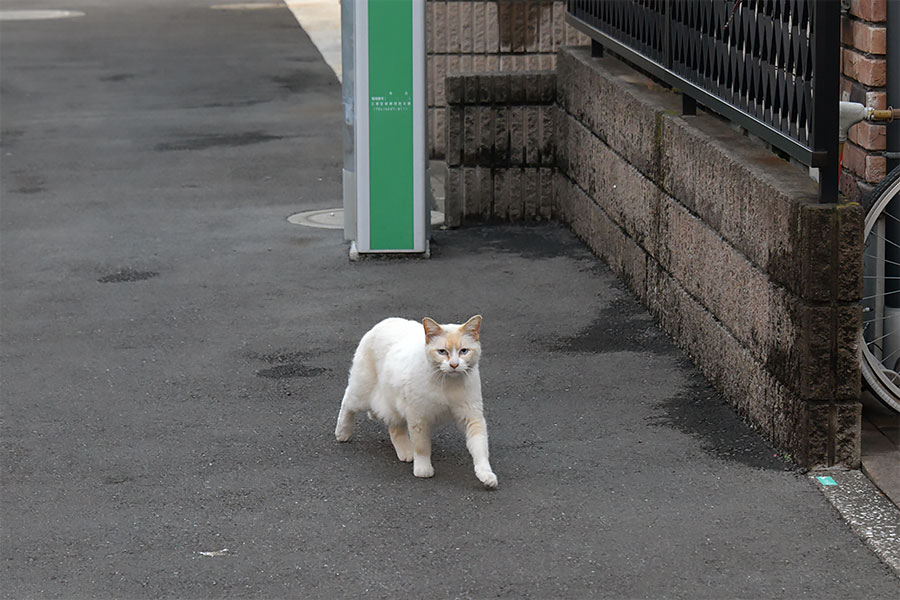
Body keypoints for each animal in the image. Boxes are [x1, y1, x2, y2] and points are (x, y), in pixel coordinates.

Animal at [336, 314, 496, 488]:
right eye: (442, 352)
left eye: (464, 351)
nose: (454, 365)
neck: (448, 383)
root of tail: (384, 321)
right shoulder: (418, 418)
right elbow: (422, 447)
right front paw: (423, 469)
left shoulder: (472, 416)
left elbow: (480, 449)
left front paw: (486, 475)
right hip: (362, 393)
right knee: (347, 403)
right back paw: (342, 433)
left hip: (394, 403)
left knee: (394, 428)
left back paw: (406, 452)